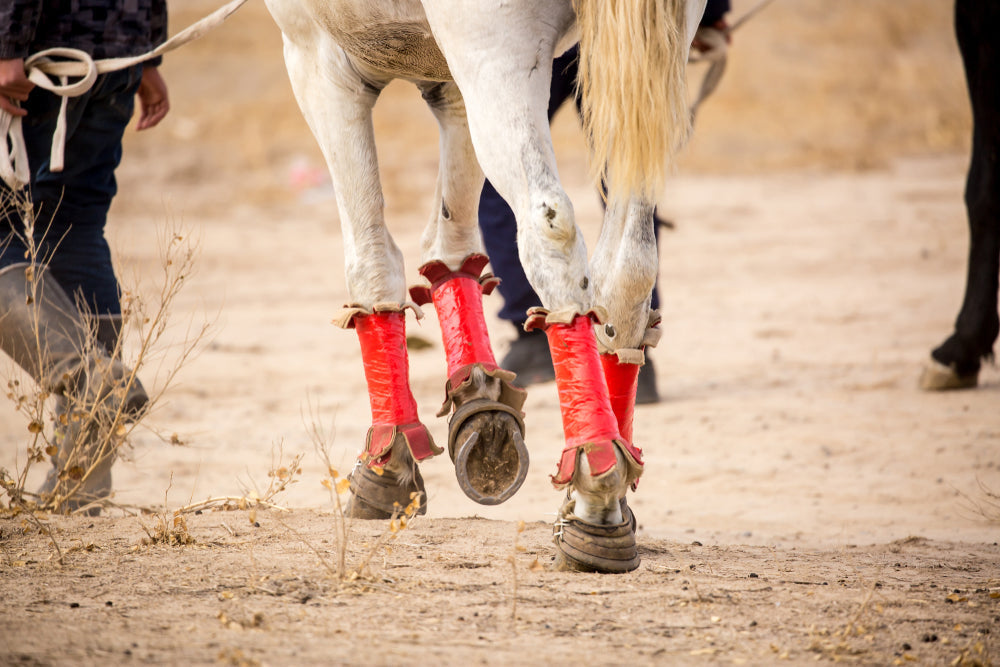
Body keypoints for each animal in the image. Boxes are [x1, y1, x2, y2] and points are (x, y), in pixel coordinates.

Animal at [264, 0, 708, 573]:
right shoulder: (448, 80)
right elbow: (450, 244)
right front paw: (480, 400)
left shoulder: (317, 60)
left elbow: (371, 258)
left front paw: (388, 461)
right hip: (650, 64)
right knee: (629, 264)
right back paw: (610, 475)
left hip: (496, 48)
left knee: (551, 226)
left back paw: (594, 493)